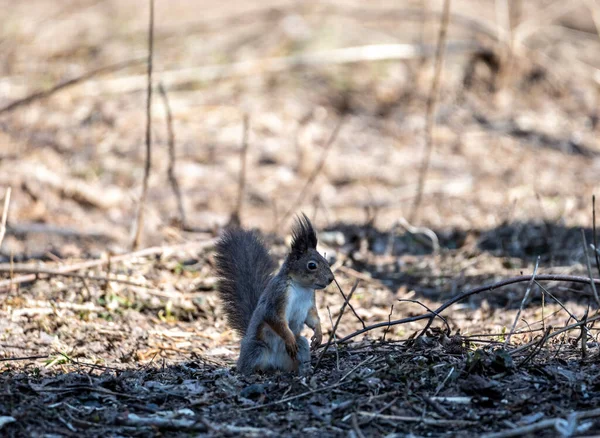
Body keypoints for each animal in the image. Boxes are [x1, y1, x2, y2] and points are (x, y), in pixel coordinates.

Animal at [214, 214, 332, 374]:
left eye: (325, 259)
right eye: (312, 265)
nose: (331, 279)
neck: (301, 287)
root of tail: (274, 364)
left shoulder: (309, 302)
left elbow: (312, 318)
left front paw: (319, 335)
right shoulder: (278, 295)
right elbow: (274, 318)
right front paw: (289, 338)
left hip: (300, 347)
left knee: (300, 350)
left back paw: (305, 370)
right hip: (256, 349)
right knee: (247, 364)